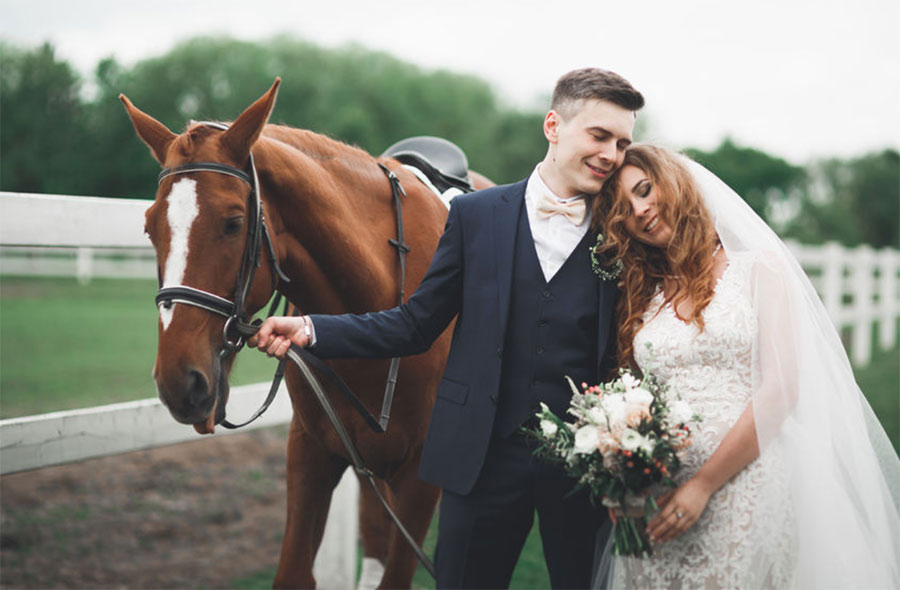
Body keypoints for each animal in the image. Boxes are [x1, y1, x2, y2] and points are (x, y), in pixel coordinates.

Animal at [119, 80, 492, 590]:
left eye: (234, 222)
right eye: (149, 227)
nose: (180, 382)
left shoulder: (420, 477)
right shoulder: (312, 452)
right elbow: (295, 572)